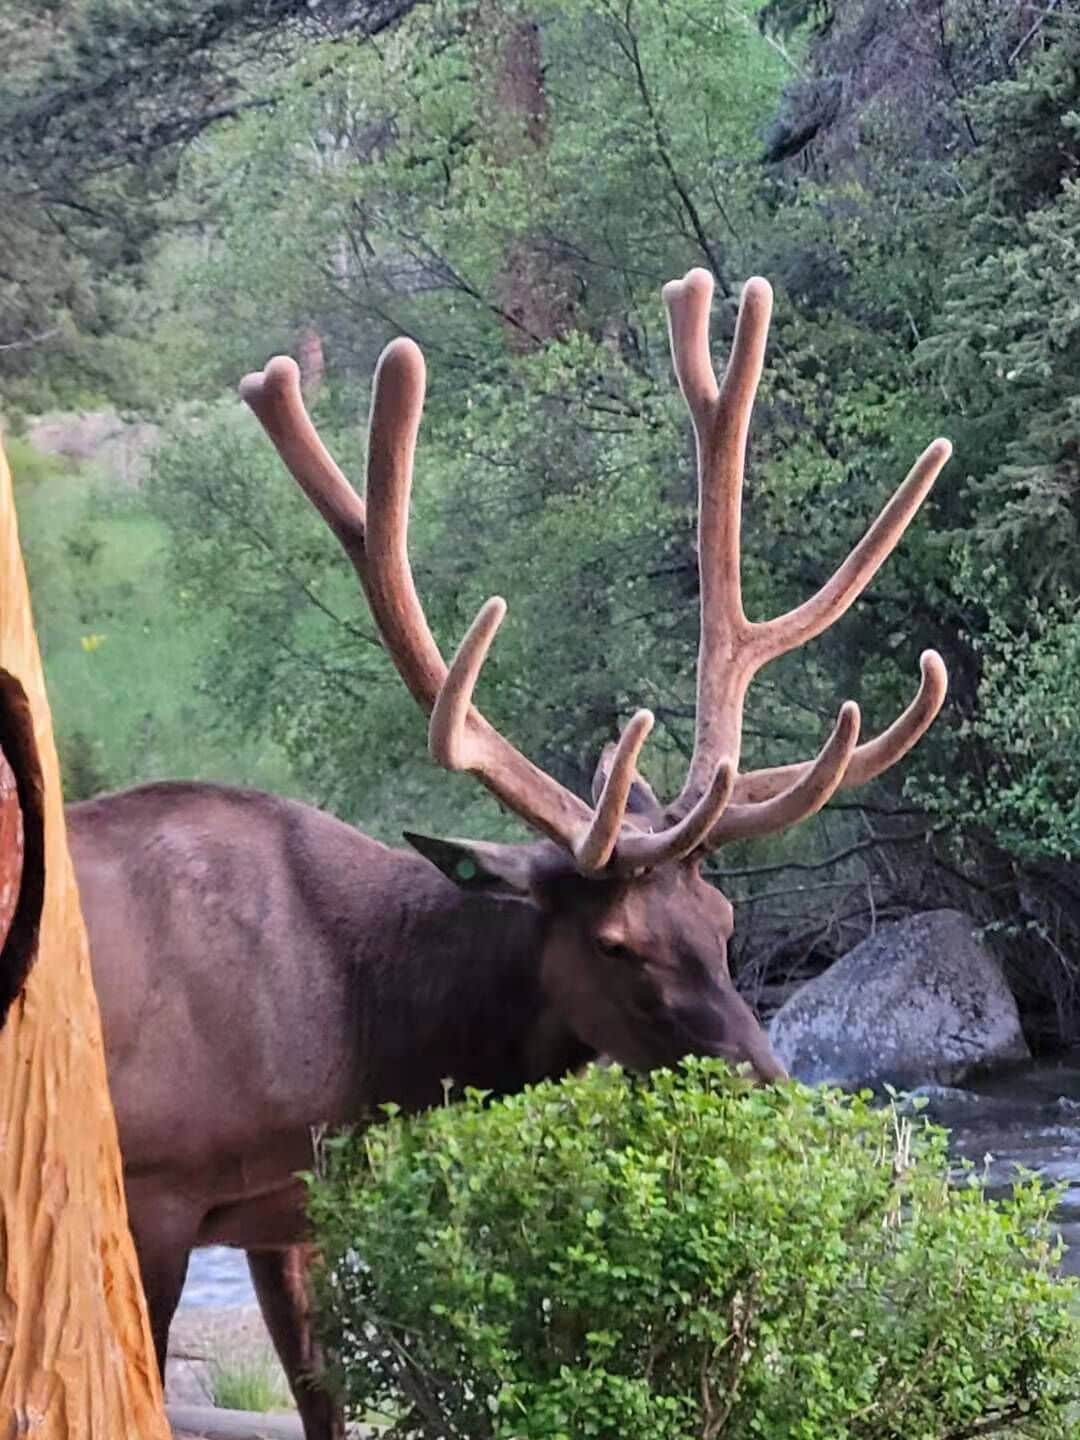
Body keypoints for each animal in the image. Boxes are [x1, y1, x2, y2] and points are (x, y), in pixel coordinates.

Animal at [66, 269, 950, 1439]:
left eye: (723, 923)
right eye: (615, 942)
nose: (769, 1091)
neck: (364, 1036)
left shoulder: (290, 1205)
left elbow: (325, 1401)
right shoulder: (153, 1191)